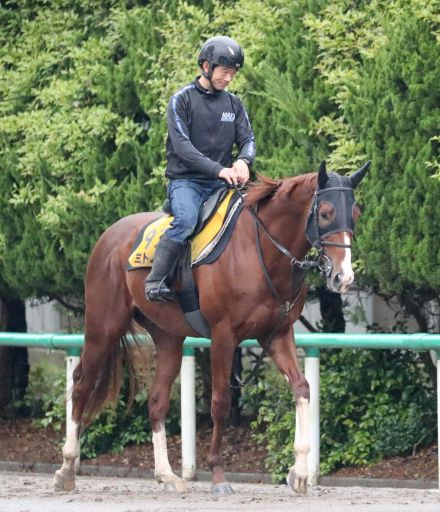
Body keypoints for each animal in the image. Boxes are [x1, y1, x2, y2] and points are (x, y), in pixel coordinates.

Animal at [52, 161, 368, 496]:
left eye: (356, 213)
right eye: (326, 213)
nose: (343, 277)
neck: (259, 250)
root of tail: (109, 237)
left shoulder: (277, 336)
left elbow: (302, 388)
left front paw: (300, 471)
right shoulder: (223, 336)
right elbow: (220, 402)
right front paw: (217, 473)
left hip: (169, 339)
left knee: (156, 400)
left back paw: (166, 475)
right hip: (103, 327)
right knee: (82, 385)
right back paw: (67, 468)